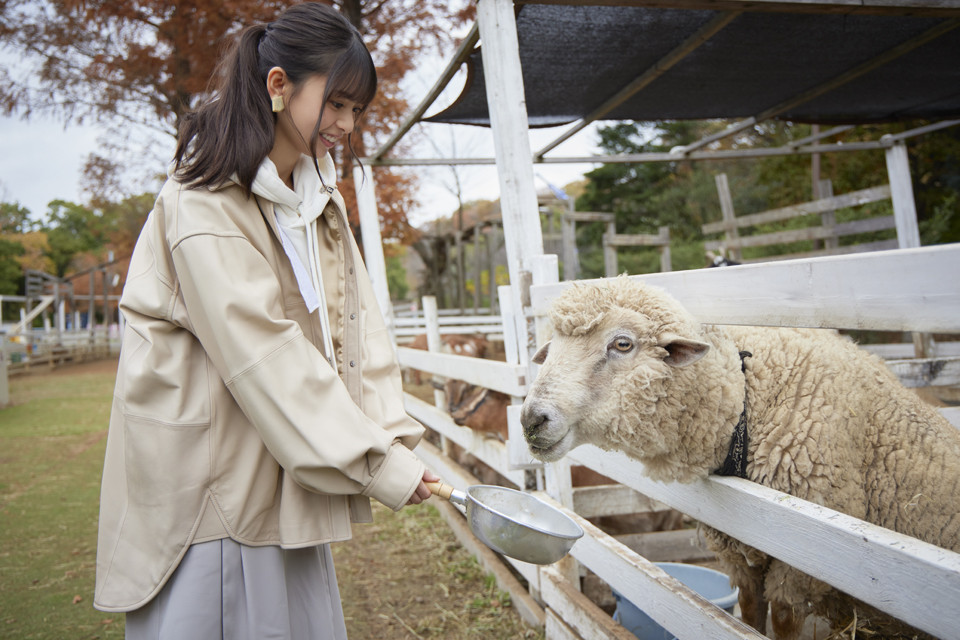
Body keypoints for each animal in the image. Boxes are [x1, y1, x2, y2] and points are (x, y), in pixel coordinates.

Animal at [524, 278, 960, 640]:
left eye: (622, 344)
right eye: (550, 351)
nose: (531, 419)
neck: (747, 403)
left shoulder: (800, 564)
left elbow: (783, 622)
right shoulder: (739, 554)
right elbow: (748, 616)